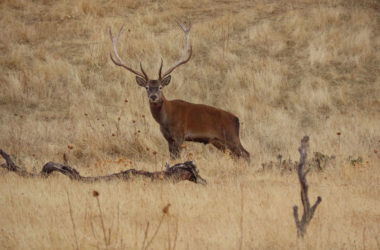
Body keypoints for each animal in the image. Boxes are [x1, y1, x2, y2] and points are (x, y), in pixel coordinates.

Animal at [108, 22, 251, 161]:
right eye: (147, 87)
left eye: (160, 87)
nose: (153, 97)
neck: (165, 120)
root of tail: (237, 120)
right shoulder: (168, 138)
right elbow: (172, 158)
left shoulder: (179, 134)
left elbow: (177, 157)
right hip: (220, 142)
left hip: (231, 137)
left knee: (246, 154)